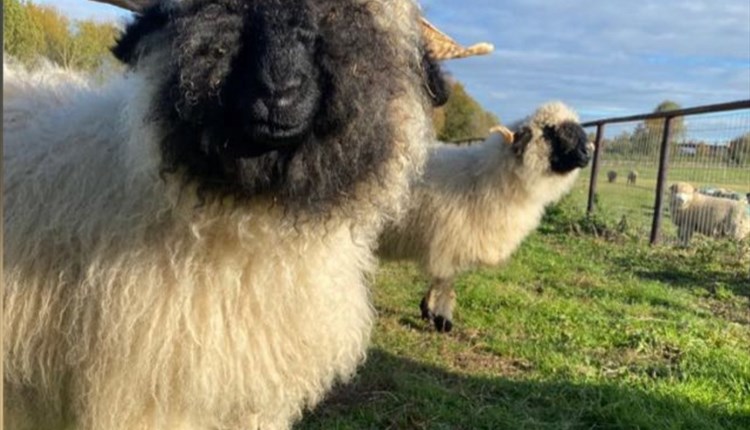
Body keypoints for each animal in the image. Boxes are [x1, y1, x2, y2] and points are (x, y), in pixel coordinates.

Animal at [378, 102, 592, 332]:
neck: (483, 178)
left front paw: (429, 310)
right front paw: (441, 317)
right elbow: (445, 281)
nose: (588, 152)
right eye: (551, 131)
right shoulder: (448, 241)